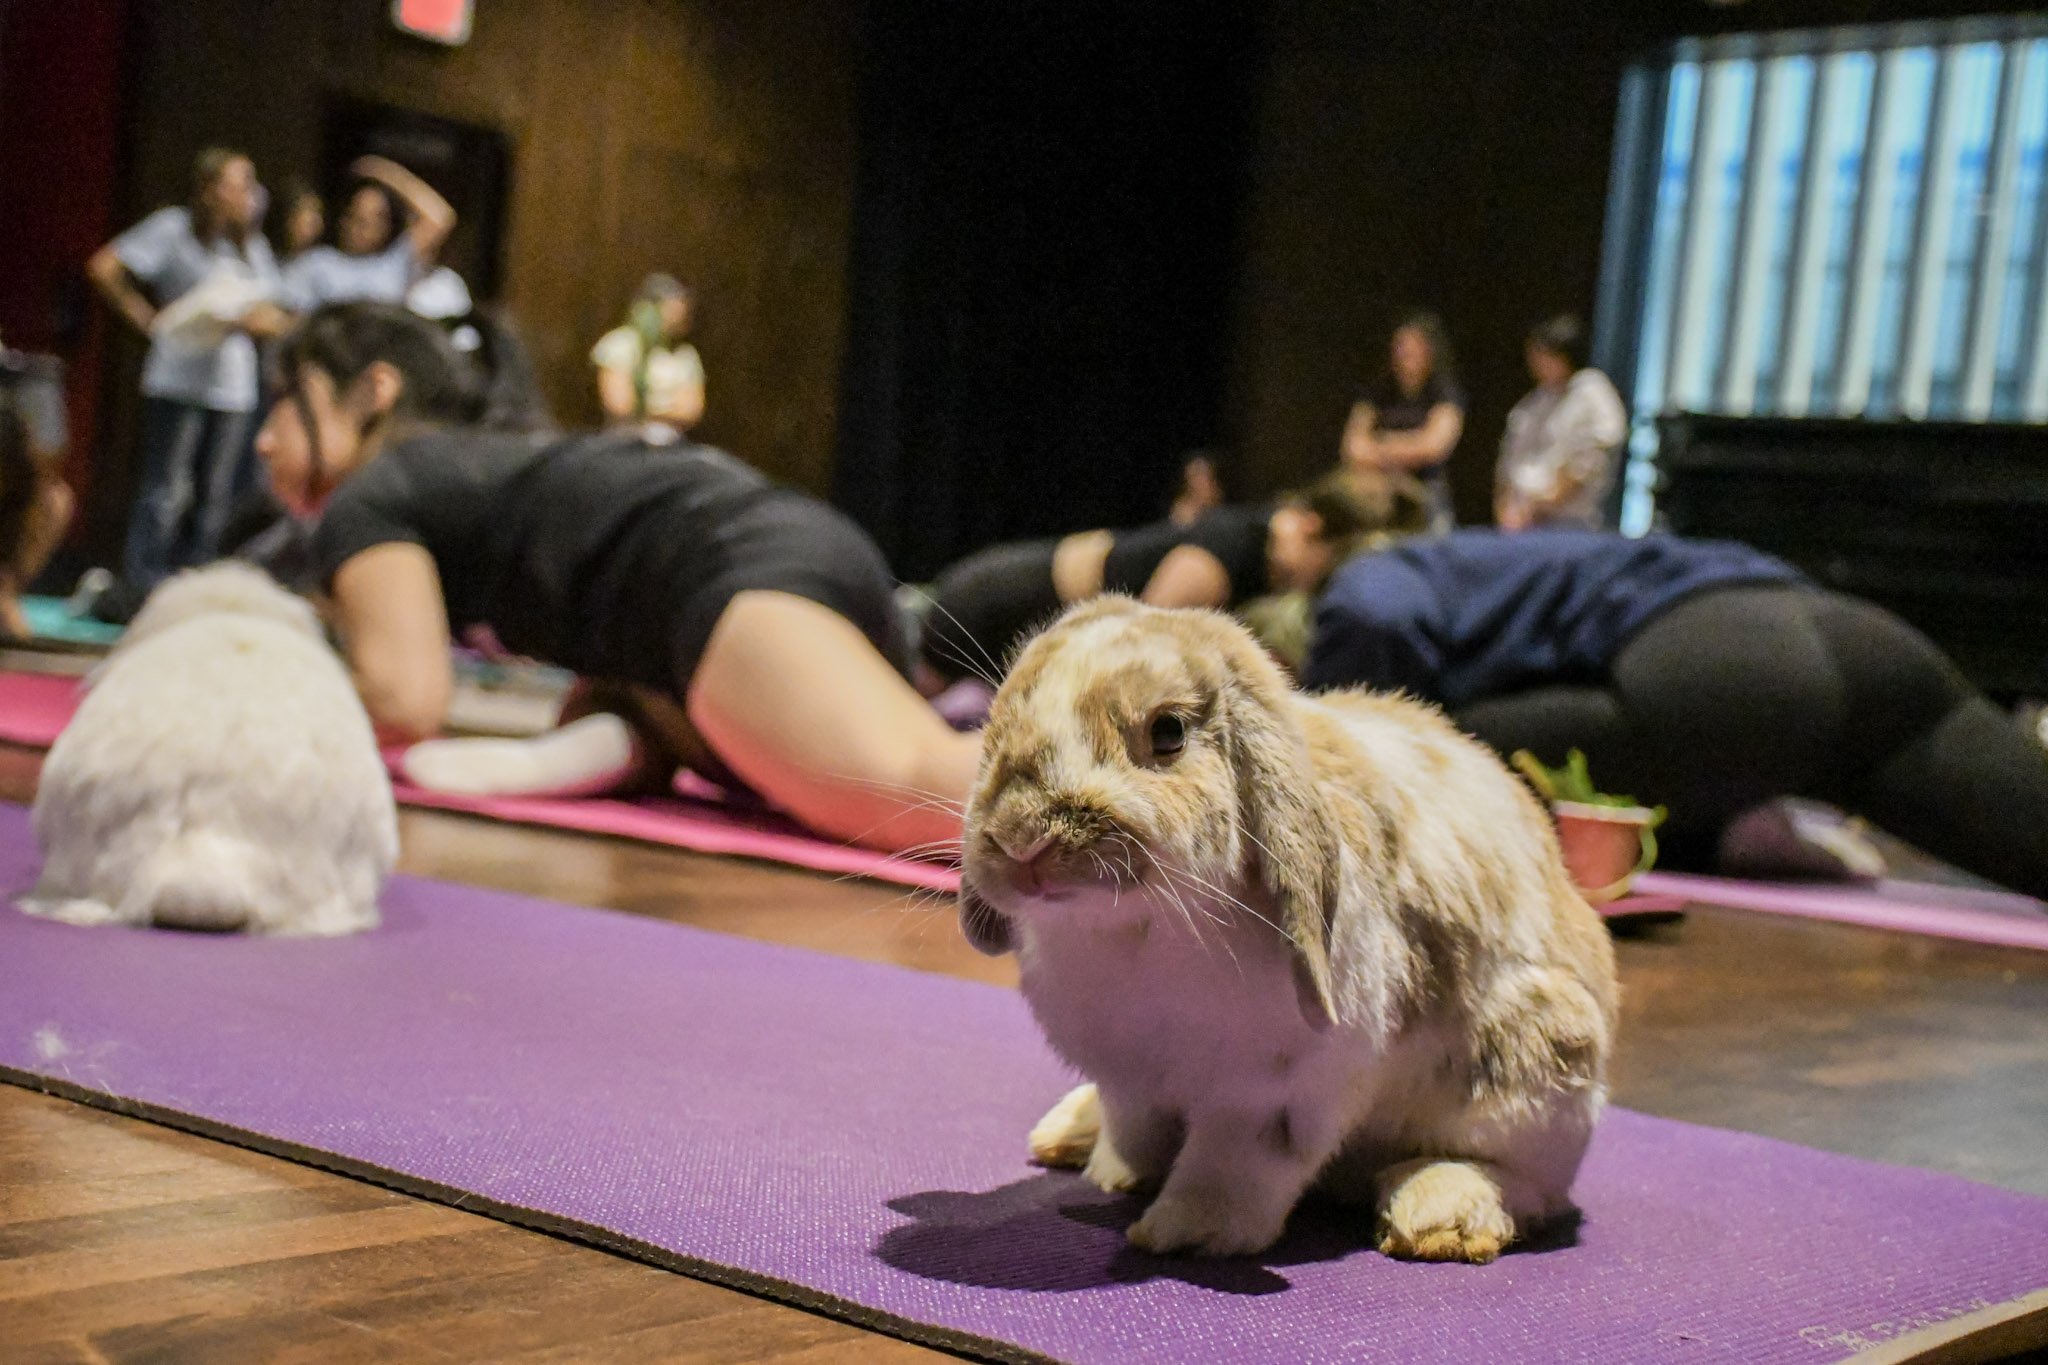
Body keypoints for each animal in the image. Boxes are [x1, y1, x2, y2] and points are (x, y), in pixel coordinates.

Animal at [958, 596, 1617, 1262]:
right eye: (998, 719)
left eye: (1168, 733)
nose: (1022, 839)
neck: (1132, 929)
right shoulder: (1133, 1084)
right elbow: (1134, 1132)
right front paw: (1114, 1175)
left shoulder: (1271, 1096)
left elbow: (1232, 1167)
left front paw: (1185, 1233)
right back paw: (1067, 1135)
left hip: (1539, 1069)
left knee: (1520, 1184)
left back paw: (1438, 1215)